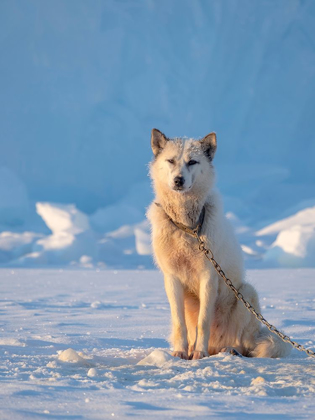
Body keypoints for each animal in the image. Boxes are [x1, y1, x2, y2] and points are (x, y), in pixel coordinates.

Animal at [148, 130, 292, 360]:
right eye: (170, 161)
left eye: (192, 162)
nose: (178, 180)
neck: (188, 228)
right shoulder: (172, 278)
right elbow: (180, 324)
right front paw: (180, 352)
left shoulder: (209, 276)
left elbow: (203, 322)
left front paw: (199, 353)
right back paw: (194, 349)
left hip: (246, 294)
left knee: (245, 345)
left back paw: (229, 350)